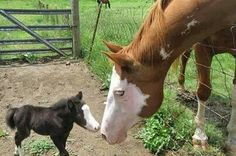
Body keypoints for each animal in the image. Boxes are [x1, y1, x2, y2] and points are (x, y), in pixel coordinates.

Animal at [100, 0, 236, 154]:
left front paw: (231, 139)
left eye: (120, 92)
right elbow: (203, 90)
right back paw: (181, 87)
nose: (104, 134)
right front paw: (200, 137)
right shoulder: (201, 45)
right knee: (185, 56)